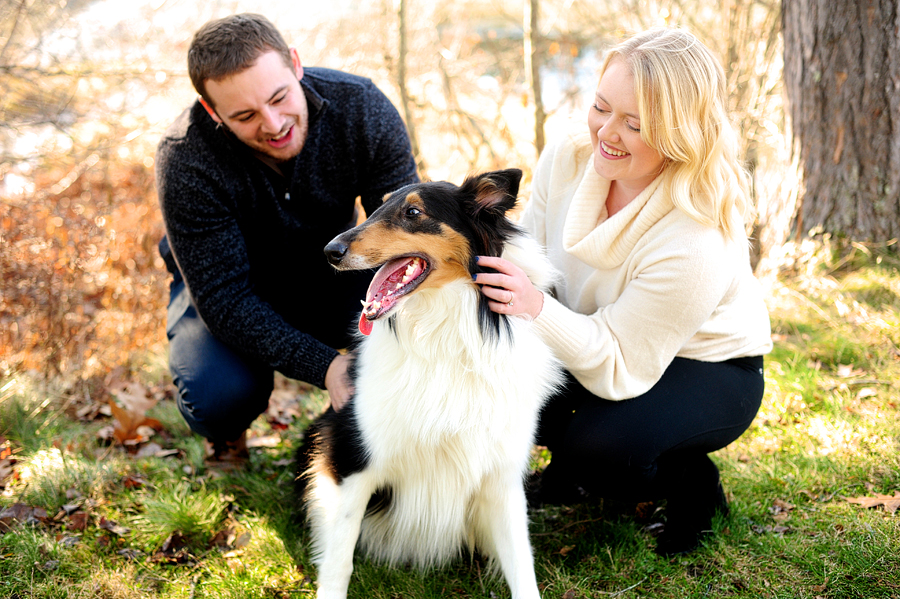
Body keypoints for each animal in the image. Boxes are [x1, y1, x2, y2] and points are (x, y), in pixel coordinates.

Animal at [302, 168, 564, 599]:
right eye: (379, 207)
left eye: (413, 213)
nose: (329, 252)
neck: (444, 337)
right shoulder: (355, 464)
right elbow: (339, 558)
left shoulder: (501, 475)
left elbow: (521, 565)